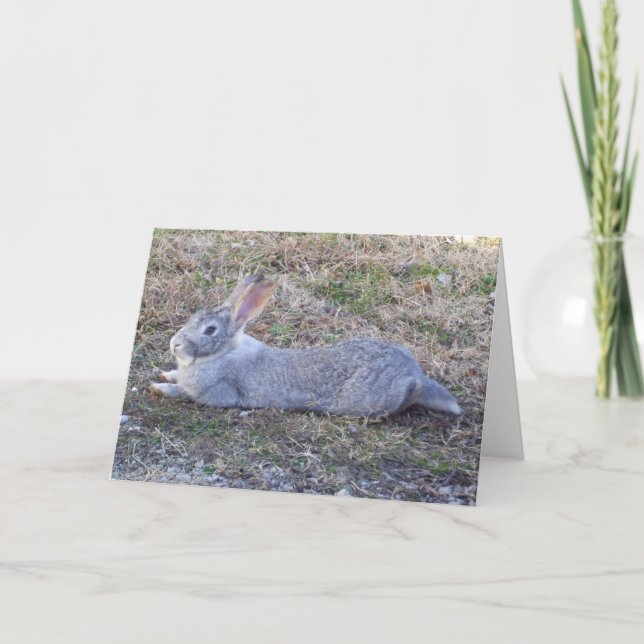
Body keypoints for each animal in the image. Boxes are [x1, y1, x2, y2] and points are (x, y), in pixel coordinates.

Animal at [149, 275, 462, 418]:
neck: (223, 353)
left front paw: (159, 388)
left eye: (210, 330)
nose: (174, 344)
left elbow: (186, 393)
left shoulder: (218, 392)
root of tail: (413, 372)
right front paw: (164, 374)